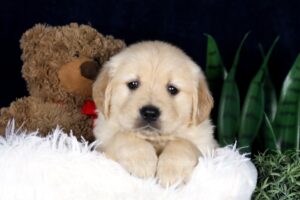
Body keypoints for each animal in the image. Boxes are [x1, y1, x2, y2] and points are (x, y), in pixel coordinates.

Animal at [92, 41, 217, 188]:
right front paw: (142, 163)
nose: (150, 113)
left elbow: (182, 143)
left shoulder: (208, 147)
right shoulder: (102, 142)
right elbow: (124, 135)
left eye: (172, 89)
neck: (155, 139)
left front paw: (172, 174)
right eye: (133, 84)